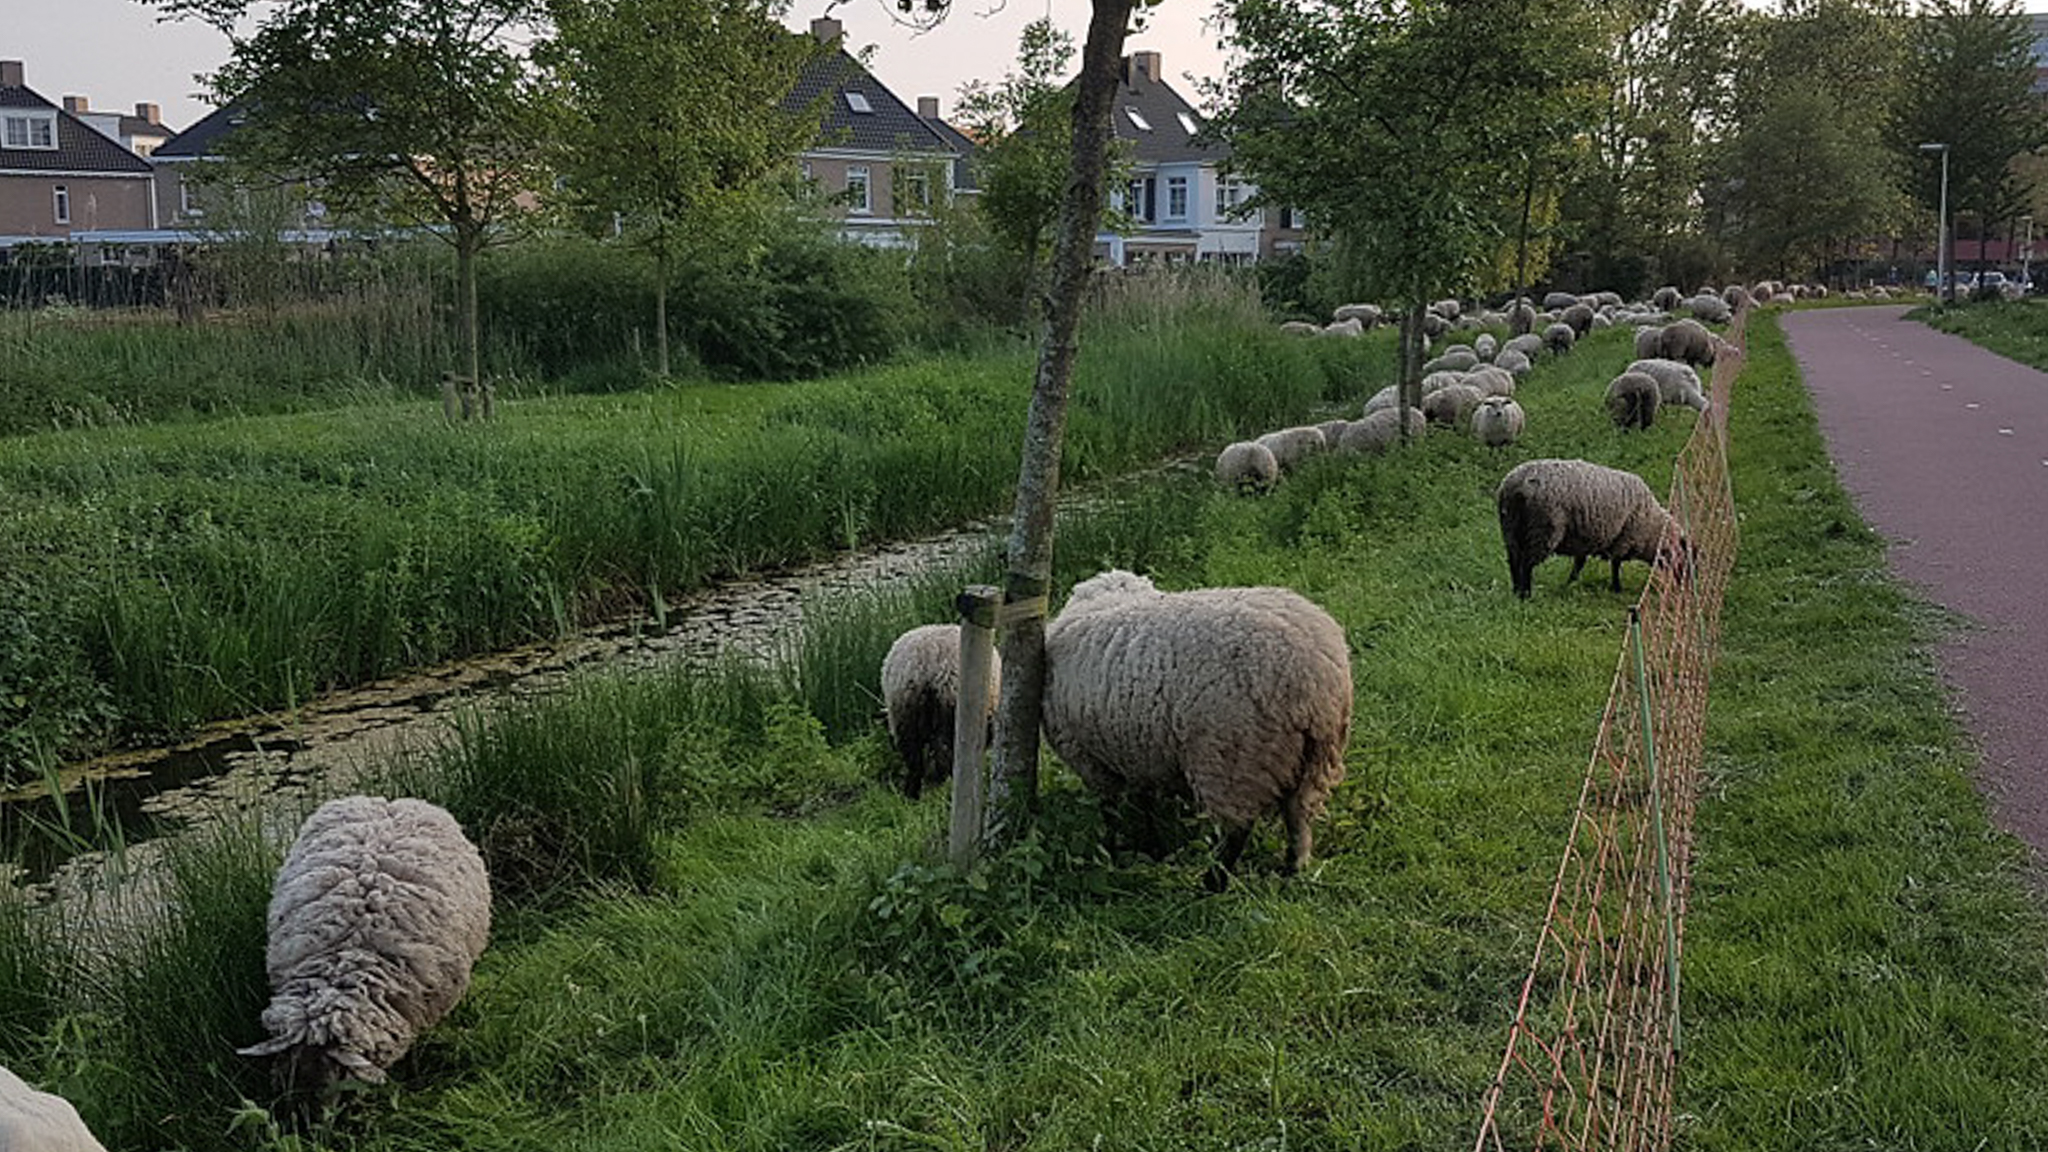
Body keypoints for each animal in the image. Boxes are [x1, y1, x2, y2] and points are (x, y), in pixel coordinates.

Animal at [884, 619, 1003, 799]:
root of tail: (926, 664)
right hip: (949, 708)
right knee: (943, 751)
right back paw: (945, 785)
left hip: (904, 712)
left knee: (913, 758)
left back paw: (911, 794)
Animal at [1040, 565, 1359, 877]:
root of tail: (1317, 681)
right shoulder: (1141, 750)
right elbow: (1145, 802)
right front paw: (1153, 846)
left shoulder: (1092, 759)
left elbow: (1111, 812)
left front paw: (1113, 849)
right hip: (1314, 758)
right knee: (1298, 816)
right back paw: (1293, 867)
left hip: (1233, 757)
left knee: (1238, 830)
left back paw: (1213, 880)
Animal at [1499, 459, 1687, 602]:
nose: (1684, 587)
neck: (1654, 529)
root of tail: (1516, 485)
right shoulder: (1623, 539)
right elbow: (1615, 564)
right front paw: (1616, 587)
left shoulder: (1584, 539)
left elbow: (1580, 563)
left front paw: (1570, 583)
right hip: (1544, 530)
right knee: (1527, 563)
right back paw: (1526, 594)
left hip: (1510, 528)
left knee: (1514, 561)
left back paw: (1516, 591)